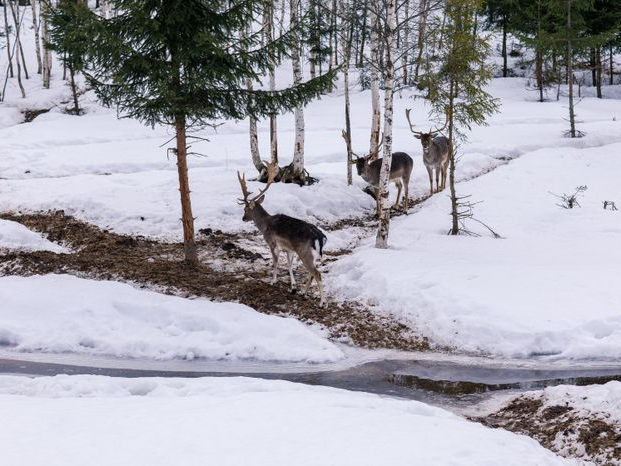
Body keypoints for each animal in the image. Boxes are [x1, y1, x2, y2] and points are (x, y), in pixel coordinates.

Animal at [236, 163, 326, 306]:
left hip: (304, 252)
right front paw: (293, 287)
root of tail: (320, 237)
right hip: (313, 255)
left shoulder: (272, 243)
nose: (243, 218)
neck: (265, 225)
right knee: (312, 273)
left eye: (245, 209)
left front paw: (273, 281)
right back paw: (304, 293)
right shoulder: (289, 249)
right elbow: (289, 265)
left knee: (317, 274)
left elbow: (275, 262)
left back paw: (322, 302)